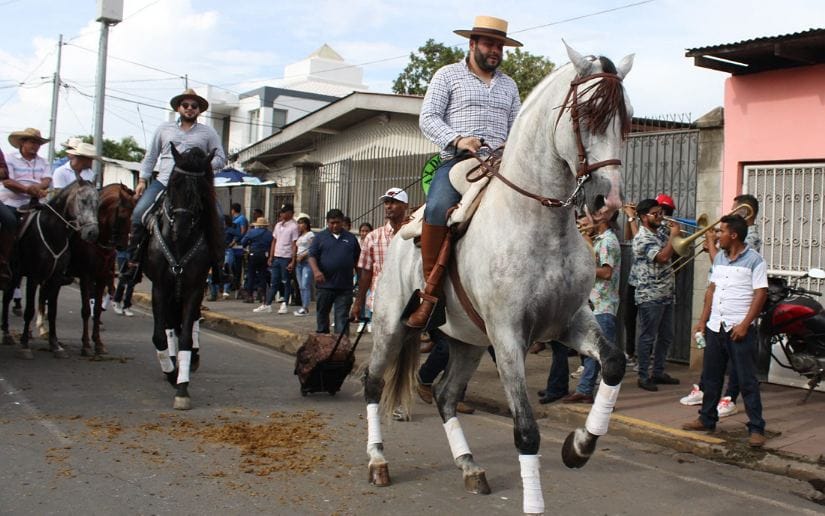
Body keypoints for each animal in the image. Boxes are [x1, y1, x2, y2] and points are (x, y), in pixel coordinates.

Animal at [1, 180, 100, 359]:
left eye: (98, 203)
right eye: (83, 201)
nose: (92, 233)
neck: (52, 232)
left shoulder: (56, 277)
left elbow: (52, 310)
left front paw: (55, 344)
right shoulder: (33, 276)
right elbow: (29, 310)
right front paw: (25, 344)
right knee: (6, 299)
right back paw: (6, 333)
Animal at [144, 144, 221, 410]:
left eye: (200, 189)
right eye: (174, 183)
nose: (182, 227)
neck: (179, 245)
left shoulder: (194, 288)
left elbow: (187, 336)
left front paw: (182, 388)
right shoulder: (159, 287)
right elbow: (159, 336)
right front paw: (171, 372)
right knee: (168, 326)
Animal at [362, 44, 633, 514]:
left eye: (628, 118)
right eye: (587, 113)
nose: (609, 201)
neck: (539, 224)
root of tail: (398, 232)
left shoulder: (569, 323)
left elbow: (614, 363)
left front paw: (579, 447)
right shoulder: (508, 336)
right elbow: (525, 429)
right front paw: (536, 500)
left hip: (467, 341)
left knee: (446, 396)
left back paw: (470, 467)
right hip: (391, 325)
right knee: (374, 383)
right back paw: (378, 461)